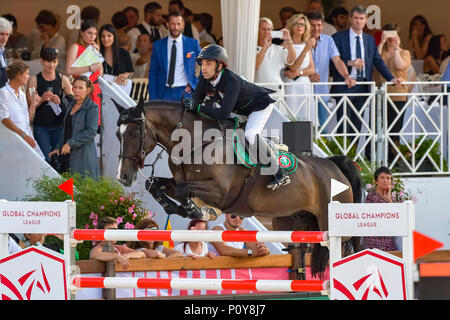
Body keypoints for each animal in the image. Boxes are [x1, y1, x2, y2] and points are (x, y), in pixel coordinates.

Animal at [114, 99, 364, 278]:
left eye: (135, 133)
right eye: (118, 134)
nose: (123, 177)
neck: (196, 142)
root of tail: (334, 166)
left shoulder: (220, 192)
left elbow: (185, 190)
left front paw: (198, 211)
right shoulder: (179, 182)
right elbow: (154, 184)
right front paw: (175, 208)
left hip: (336, 227)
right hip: (290, 223)